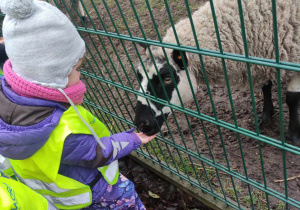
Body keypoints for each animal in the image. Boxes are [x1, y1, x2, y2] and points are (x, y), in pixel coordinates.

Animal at [134, 0, 300, 145]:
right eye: (139, 76)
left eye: (167, 79)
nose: (140, 124)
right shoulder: (264, 61)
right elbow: (266, 87)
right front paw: (265, 116)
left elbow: (292, 100)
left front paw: (293, 135)